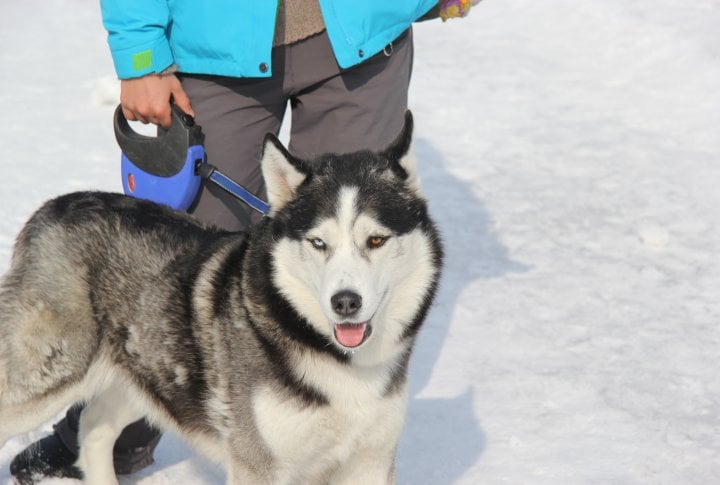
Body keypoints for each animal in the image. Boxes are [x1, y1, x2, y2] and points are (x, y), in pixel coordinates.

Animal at [0, 111, 438, 482]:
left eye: (376, 239)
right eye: (318, 242)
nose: (345, 302)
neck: (338, 359)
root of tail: (51, 208)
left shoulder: (371, 461)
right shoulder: (258, 464)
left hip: (144, 373)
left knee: (93, 427)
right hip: (49, 376)